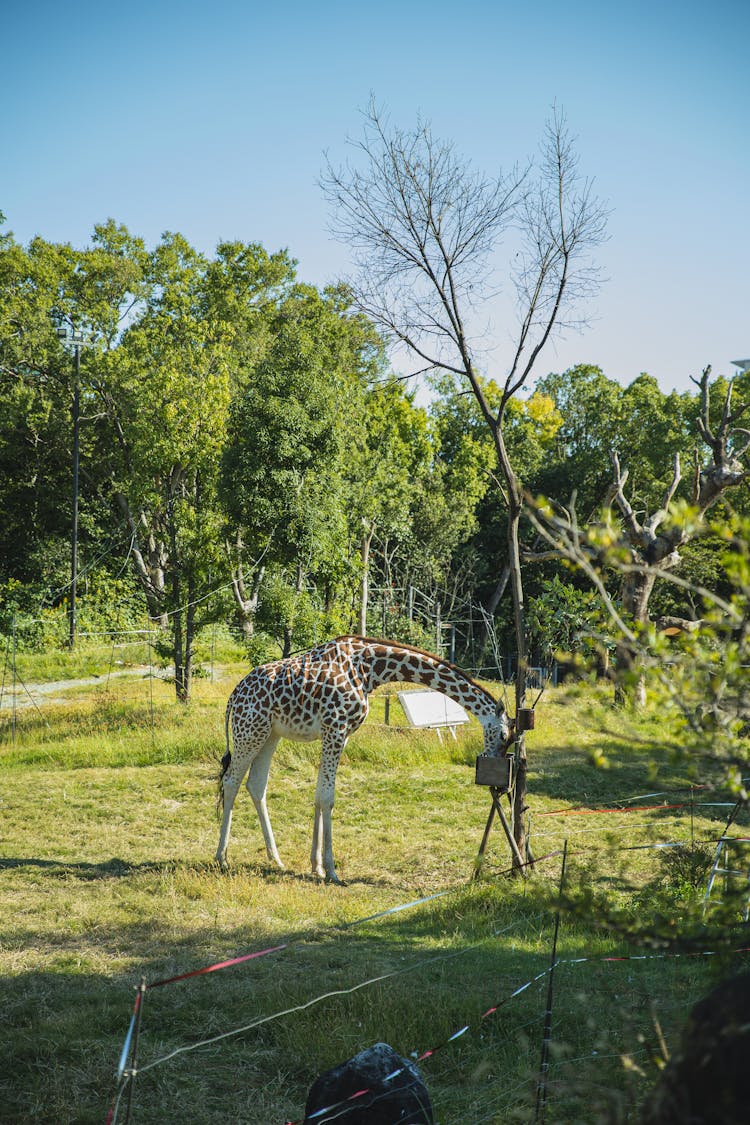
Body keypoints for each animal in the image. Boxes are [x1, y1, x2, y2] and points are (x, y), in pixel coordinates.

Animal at [213, 639, 512, 882]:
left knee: (256, 784)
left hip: (270, 733)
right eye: (504, 734)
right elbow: (327, 798)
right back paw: (222, 859)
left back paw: (275, 859)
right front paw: (331, 871)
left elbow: (319, 794)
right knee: (231, 780)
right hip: (249, 730)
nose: (496, 763)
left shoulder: (340, 734)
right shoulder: (335, 728)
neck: (371, 669)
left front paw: (315, 866)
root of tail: (232, 697)